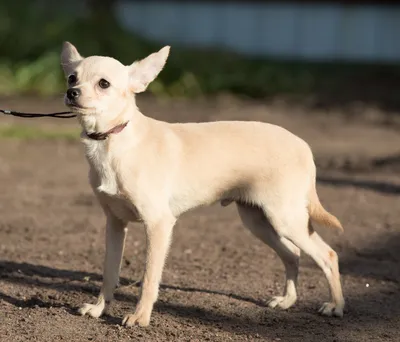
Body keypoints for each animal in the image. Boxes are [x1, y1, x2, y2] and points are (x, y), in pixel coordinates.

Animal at [61, 41, 346, 328]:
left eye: (104, 84)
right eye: (72, 77)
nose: (71, 92)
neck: (112, 141)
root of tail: (303, 145)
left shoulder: (158, 224)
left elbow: (149, 279)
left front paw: (140, 317)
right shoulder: (115, 224)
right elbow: (109, 273)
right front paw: (99, 309)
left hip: (285, 219)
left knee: (328, 255)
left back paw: (335, 305)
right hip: (259, 221)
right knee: (293, 254)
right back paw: (287, 300)